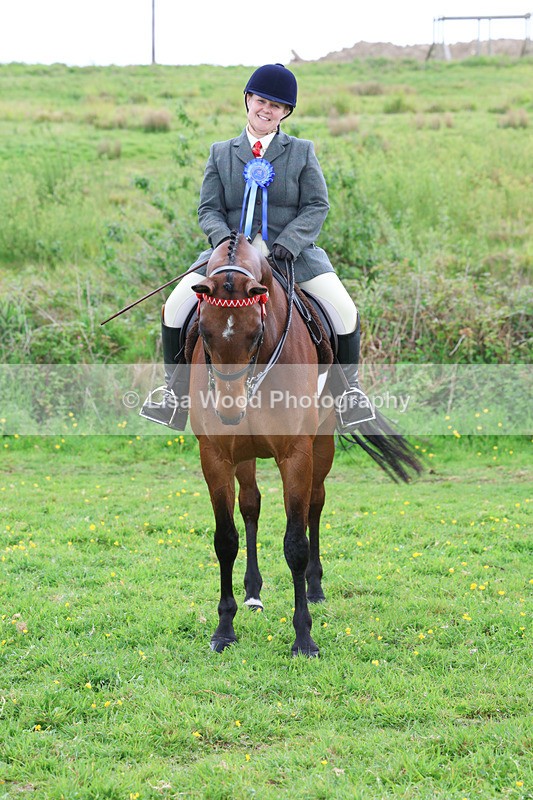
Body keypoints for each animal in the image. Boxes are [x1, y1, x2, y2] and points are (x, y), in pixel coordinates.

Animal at [188, 231, 422, 657]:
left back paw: (314, 587)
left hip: (321, 444)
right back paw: (253, 593)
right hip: (244, 455)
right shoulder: (215, 455)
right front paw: (224, 630)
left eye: (256, 332)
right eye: (205, 333)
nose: (230, 411)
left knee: (315, 504)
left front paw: (303, 637)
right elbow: (225, 539)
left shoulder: (296, 453)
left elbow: (296, 542)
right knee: (251, 505)